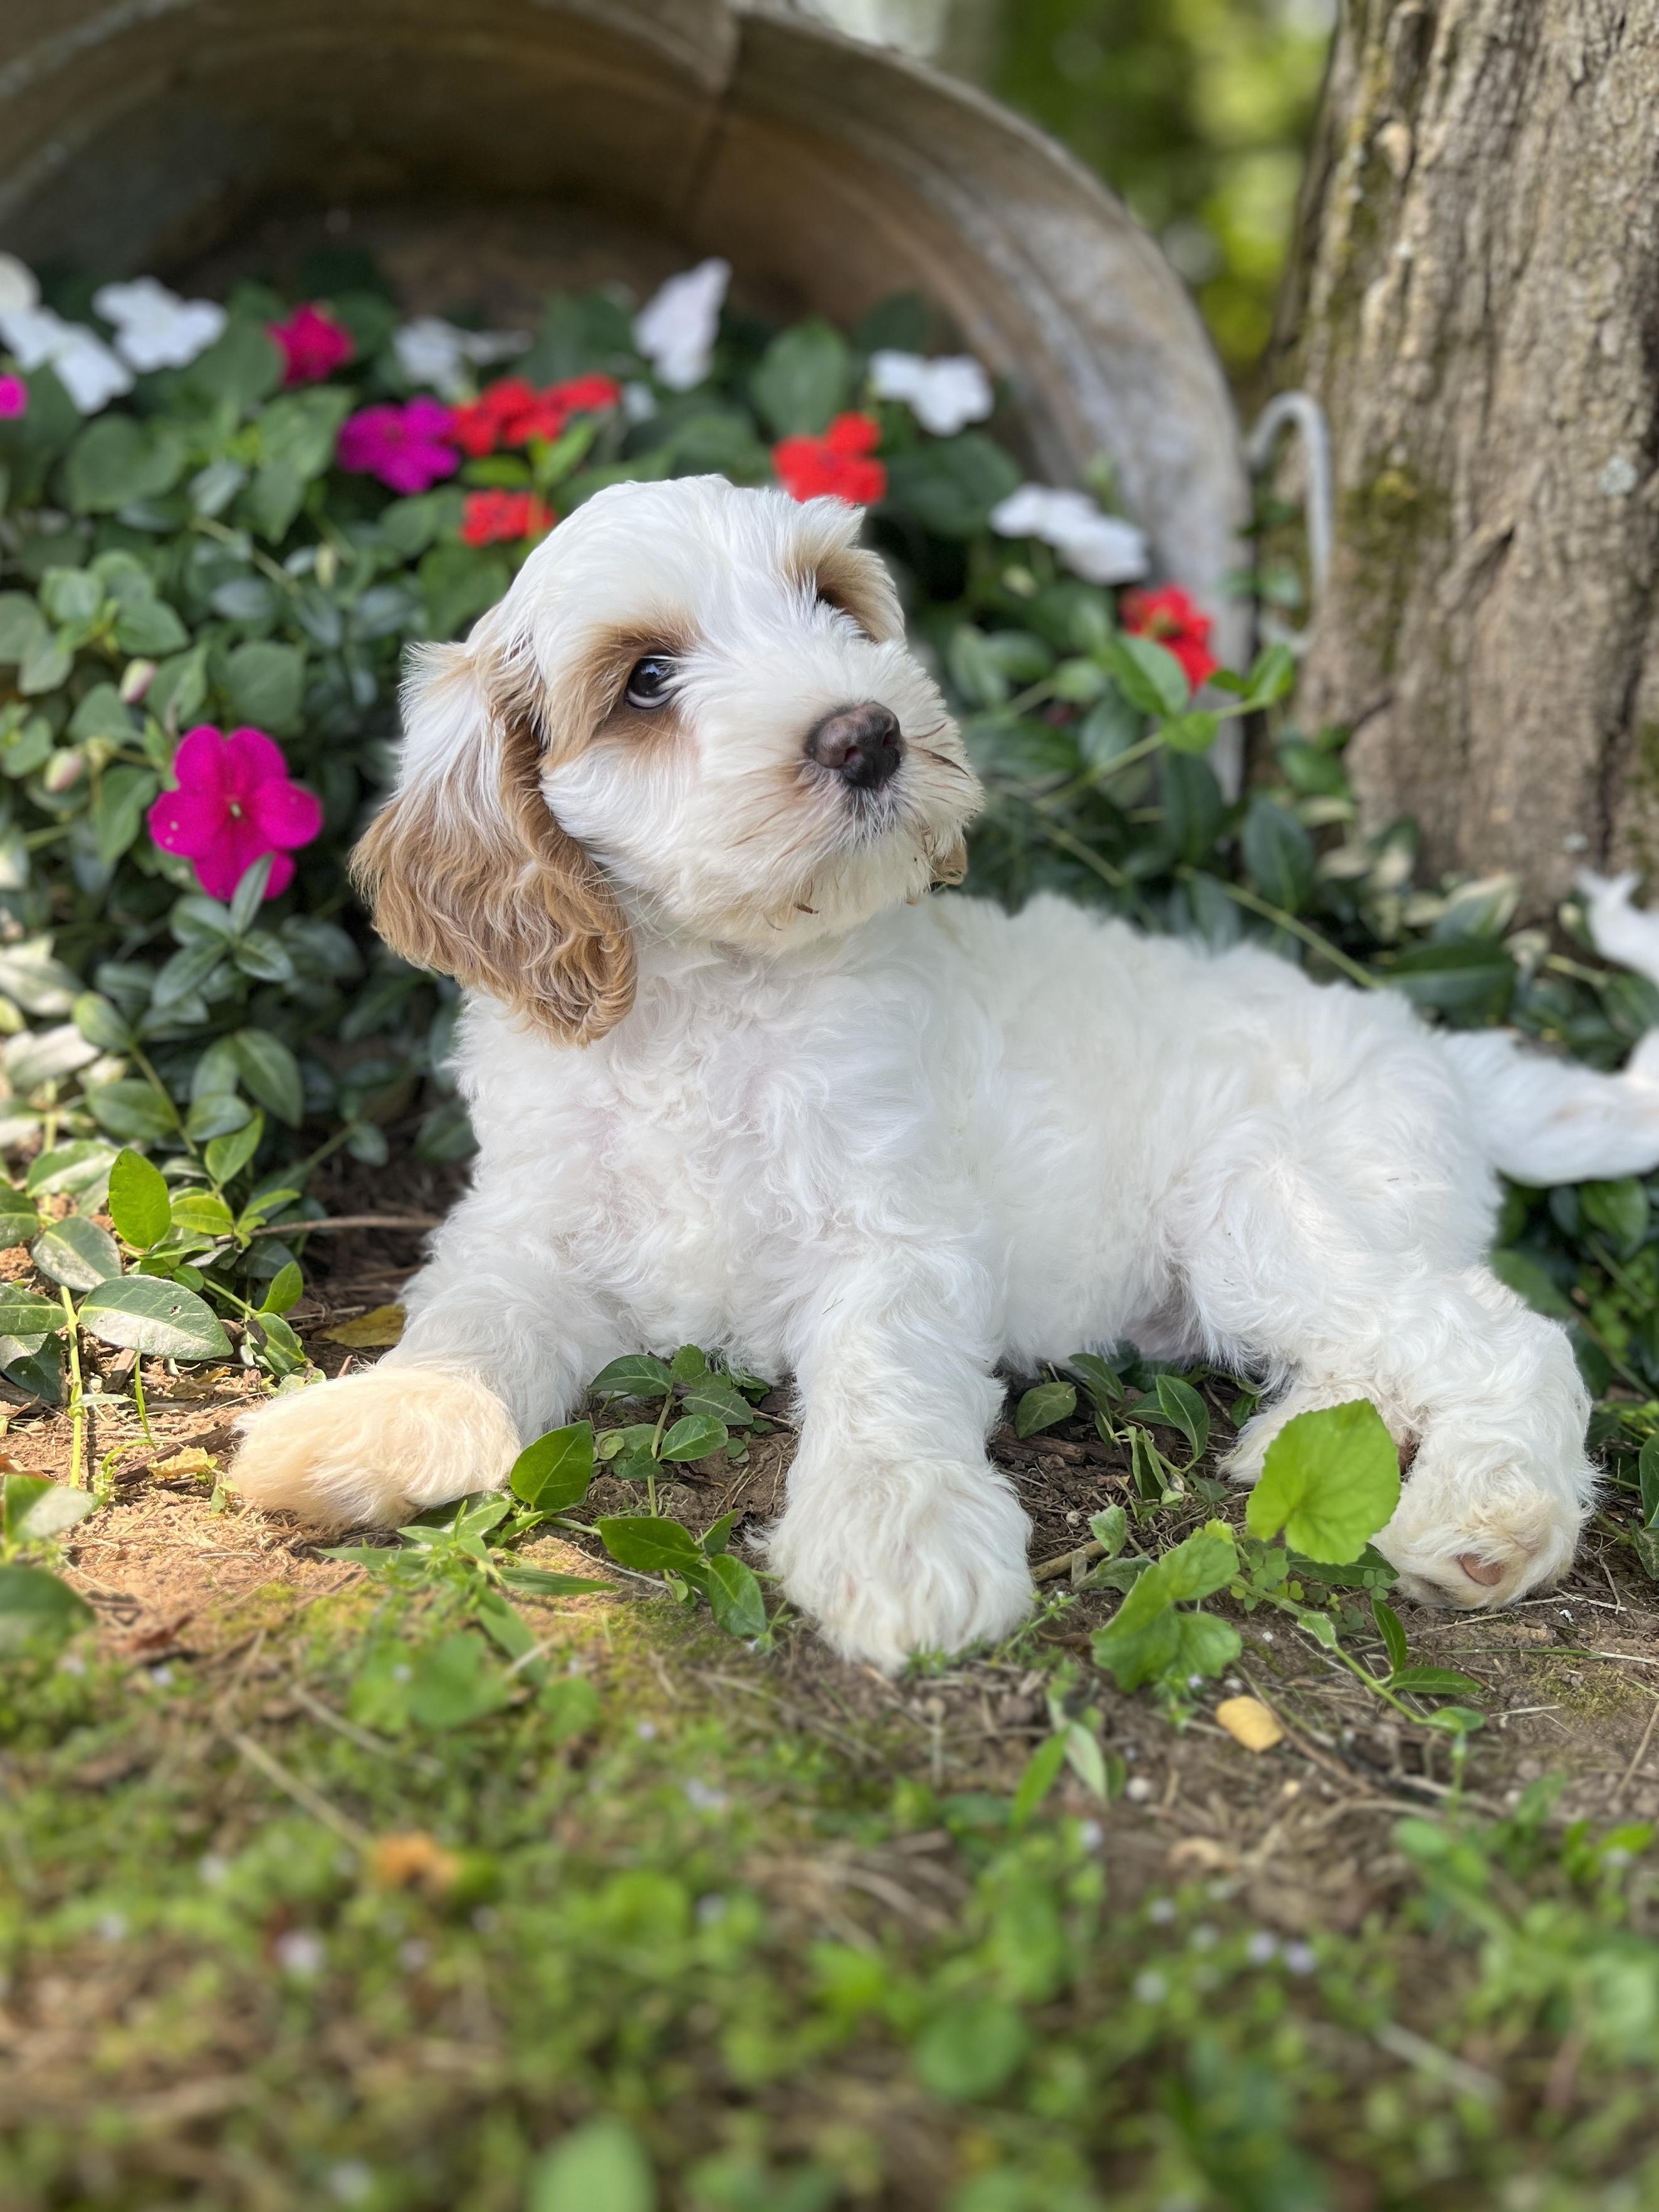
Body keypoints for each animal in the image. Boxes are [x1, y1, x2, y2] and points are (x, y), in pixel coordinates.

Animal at [232, 475, 1659, 1669]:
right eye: (643, 679)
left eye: (830, 602)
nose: (867, 734)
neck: (719, 989)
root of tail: (1430, 1044)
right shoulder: (525, 1219)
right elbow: (470, 1326)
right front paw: (372, 1421)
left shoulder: (898, 1234)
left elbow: (886, 1382)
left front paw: (900, 1541)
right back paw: (1292, 1445)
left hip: (1277, 1203)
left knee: (1506, 1333)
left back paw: (1490, 1514)